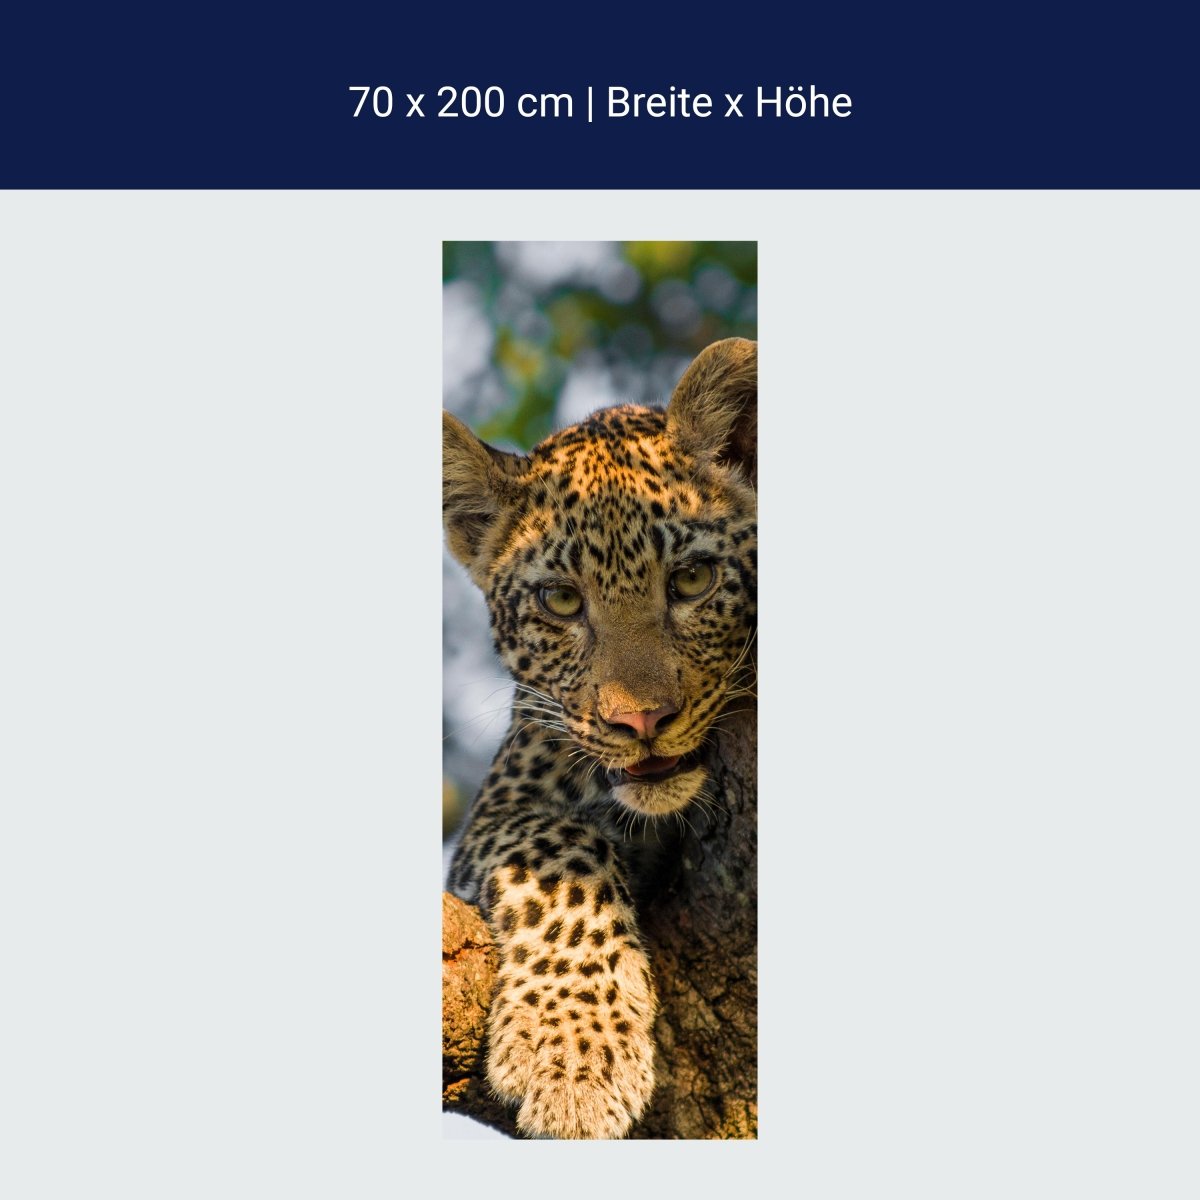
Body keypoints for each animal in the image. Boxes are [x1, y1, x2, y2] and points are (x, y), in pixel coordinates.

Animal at [442, 337, 757, 1139]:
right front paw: (574, 1059)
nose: (640, 721)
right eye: (560, 601)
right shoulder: (499, 807)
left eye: (692, 580)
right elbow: (561, 850)